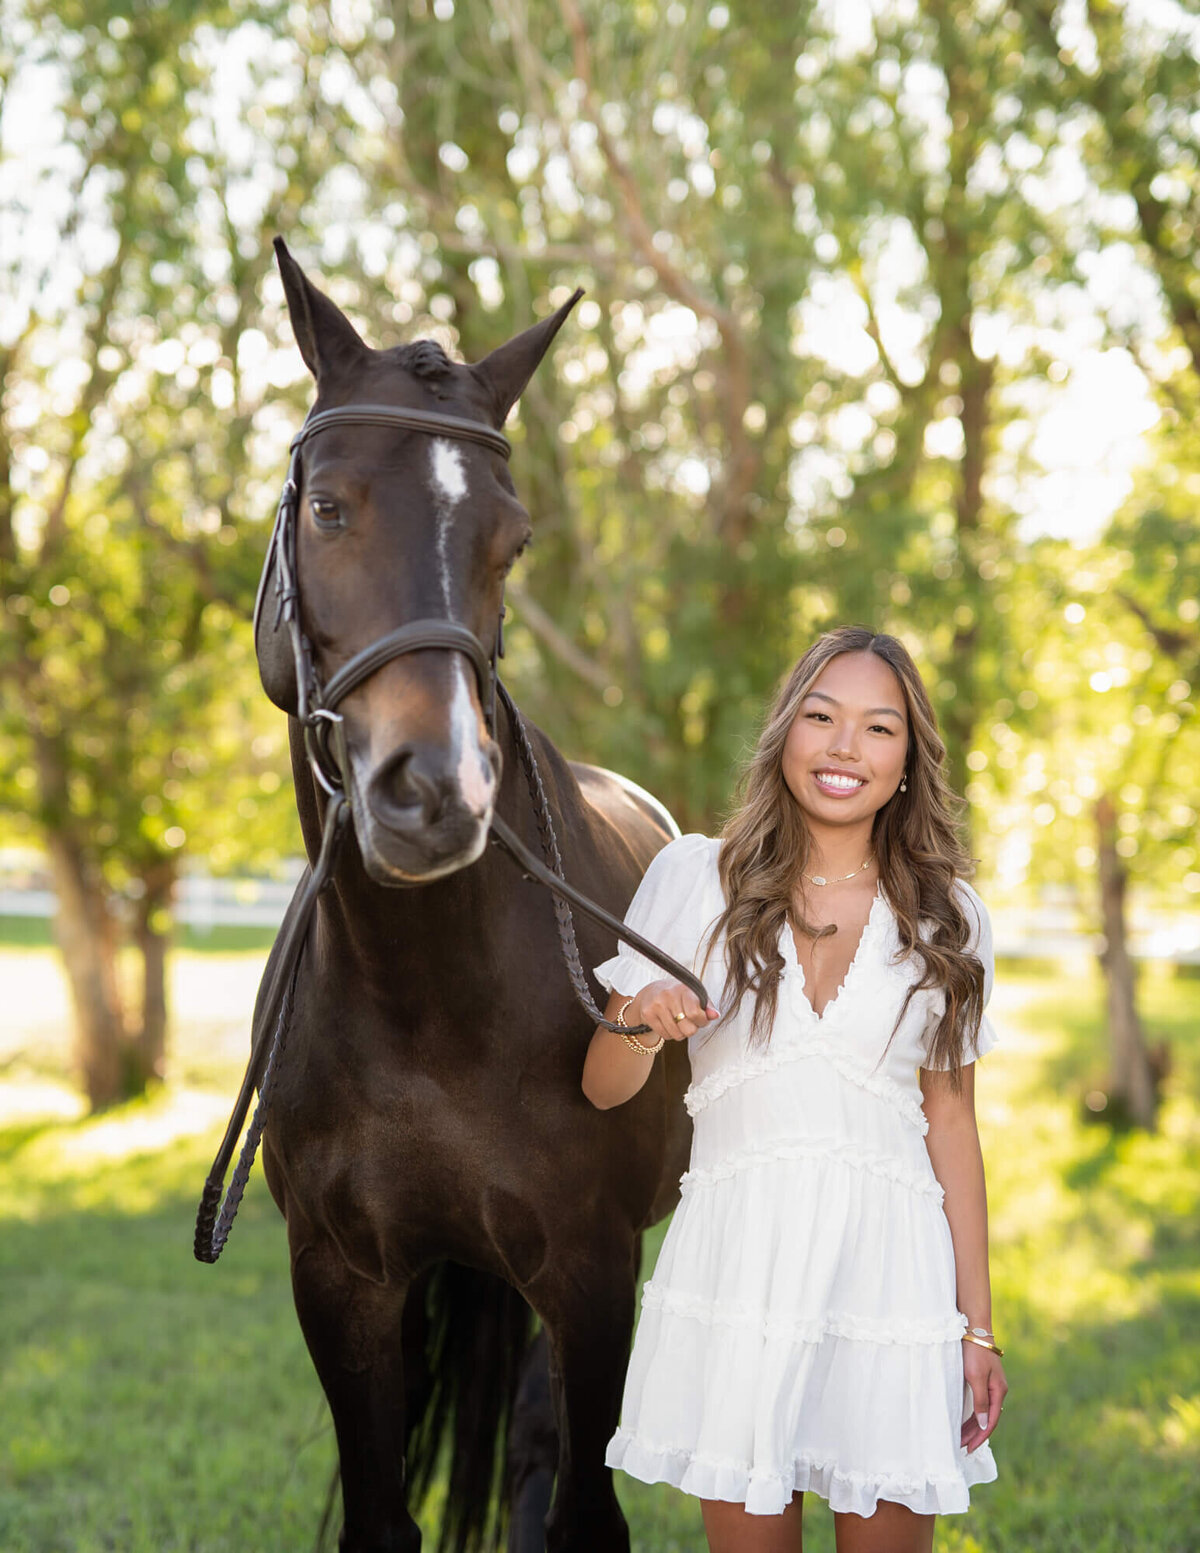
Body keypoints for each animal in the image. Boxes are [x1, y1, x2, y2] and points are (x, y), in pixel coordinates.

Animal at [239, 242, 689, 1553]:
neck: (426, 1004)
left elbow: (582, 1503)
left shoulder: (591, 1275)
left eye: (514, 539)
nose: (434, 791)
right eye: (328, 505)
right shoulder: (340, 1281)